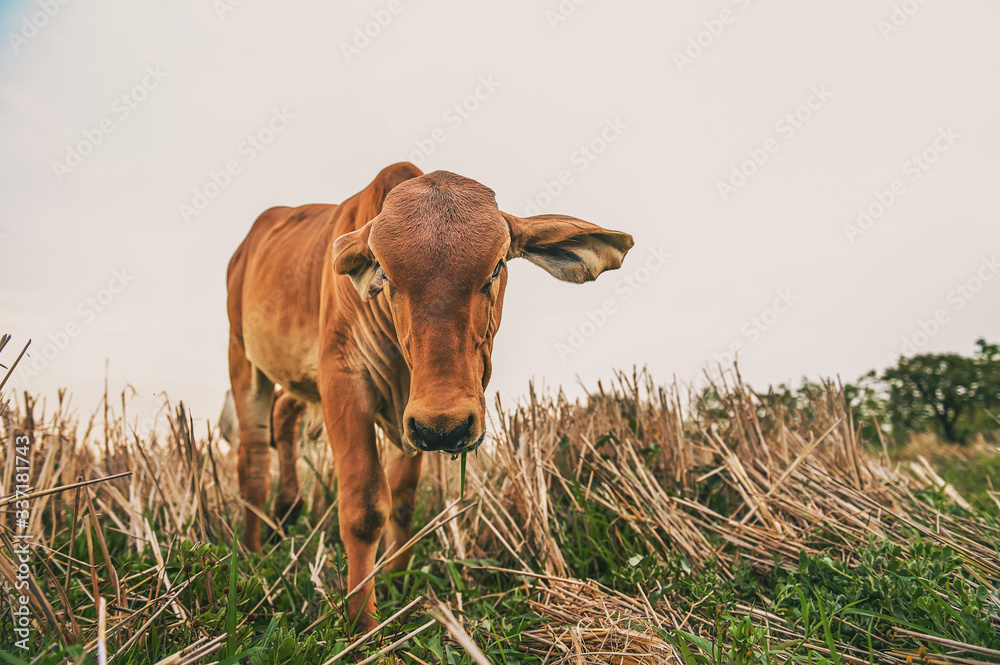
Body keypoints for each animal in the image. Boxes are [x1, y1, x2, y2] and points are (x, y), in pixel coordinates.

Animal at [227, 161, 632, 628]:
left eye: (496, 267)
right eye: (385, 275)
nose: (447, 427)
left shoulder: (412, 417)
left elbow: (403, 500)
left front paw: (395, 580)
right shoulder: (343, 379)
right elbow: (365, 508)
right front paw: (363, 625)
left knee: (284, 413)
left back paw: (286, 511)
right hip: (243, 359)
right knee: (254, 459)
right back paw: (253, 552)